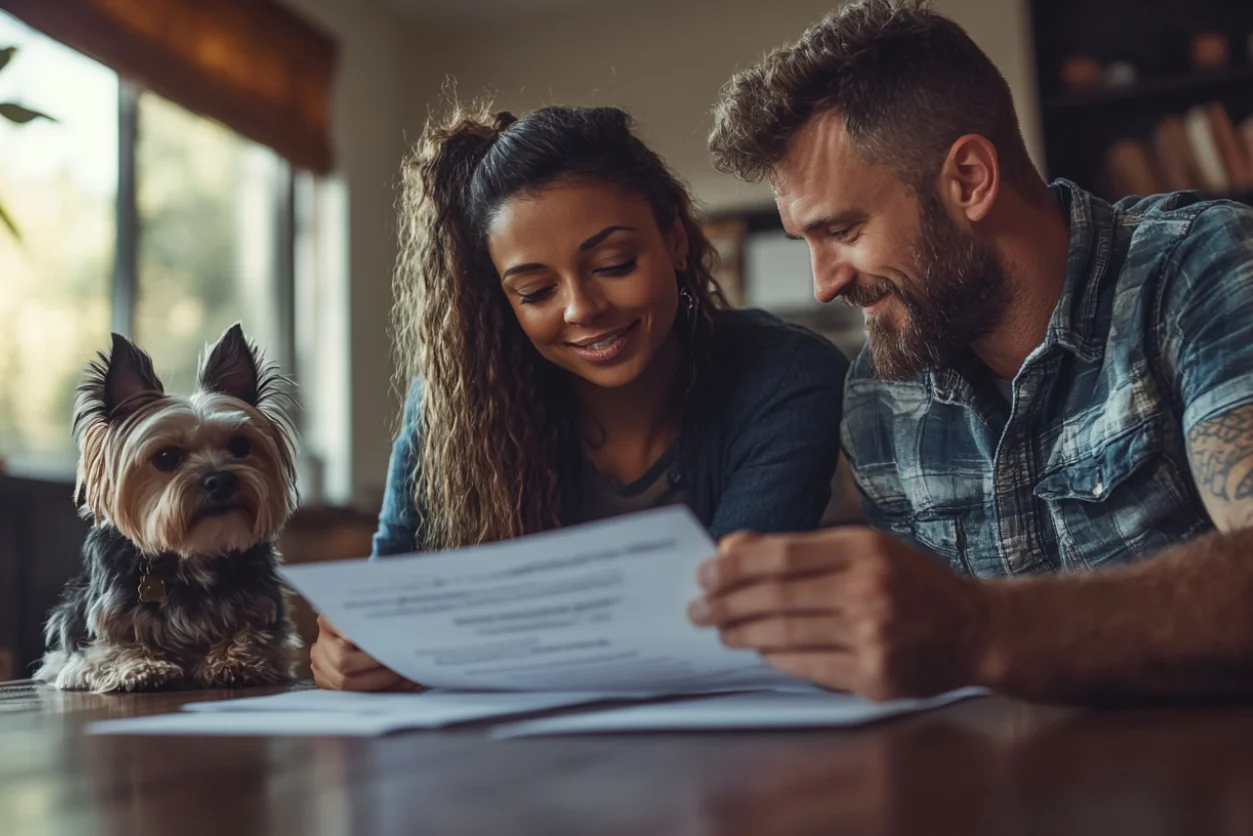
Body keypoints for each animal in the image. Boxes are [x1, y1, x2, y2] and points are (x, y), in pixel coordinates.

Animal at [36, 325, 300, 691]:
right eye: (166, 458)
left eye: (240, 446)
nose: (221, 480)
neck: (192, 555)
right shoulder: (84, 642)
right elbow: (109, 649)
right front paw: (140, 666)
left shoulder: (266, 612)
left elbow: (254, 635)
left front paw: (235, 659)